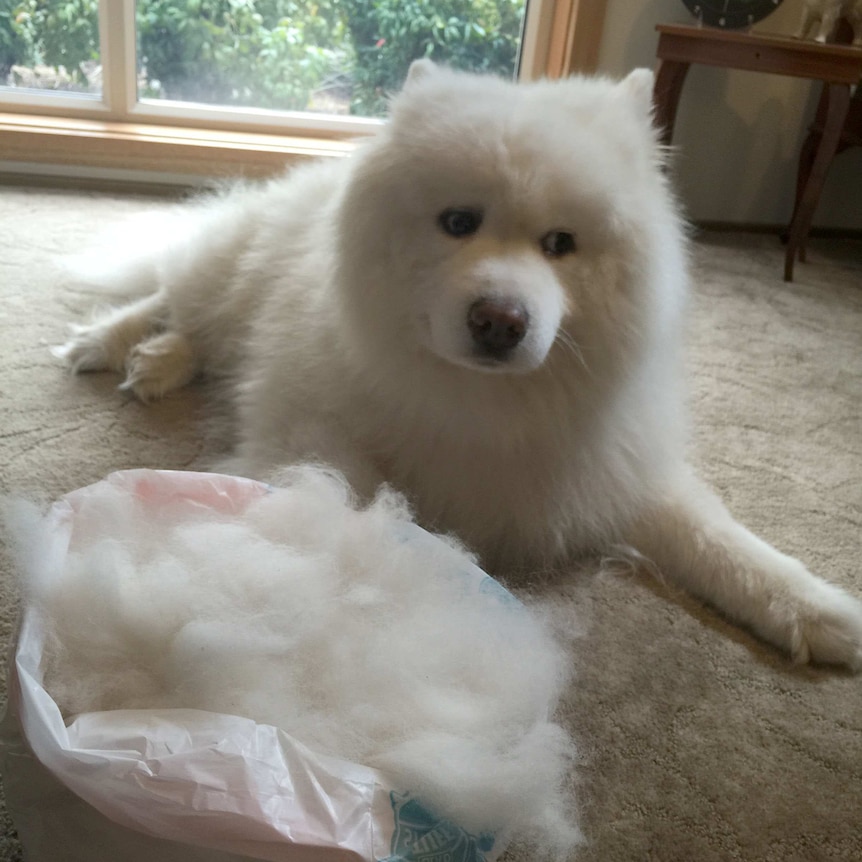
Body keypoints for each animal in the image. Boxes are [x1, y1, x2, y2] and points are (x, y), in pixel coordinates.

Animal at [57, 62, 862, 668]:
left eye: (561, 244)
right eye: (457, 222)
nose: (500, 321)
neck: (485, 404)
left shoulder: (614, 469)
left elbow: (718, 539)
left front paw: (815, 611)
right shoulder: (313, 437)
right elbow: (338, 499)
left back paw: (155, 360)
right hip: (229, 270)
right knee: (175, 300)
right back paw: (115, 346)